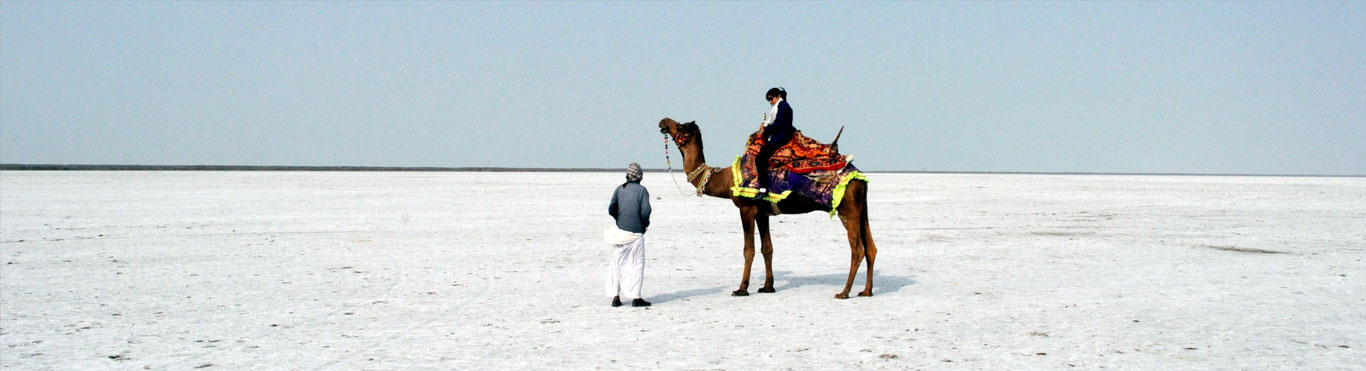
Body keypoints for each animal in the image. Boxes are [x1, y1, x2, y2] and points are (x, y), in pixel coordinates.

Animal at [658, 117, 874, 298]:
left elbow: (749, 249)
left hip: (847, 210)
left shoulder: (746, 209)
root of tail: (859, 176)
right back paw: (866, 291)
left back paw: (844, 292)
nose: (664, 122)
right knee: (871, 248)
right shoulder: (763, 213)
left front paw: (741, 288)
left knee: (857, 250)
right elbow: (767, 248)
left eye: (682, 126)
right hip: (861, 208)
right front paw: (768, 286)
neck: (727, 179)